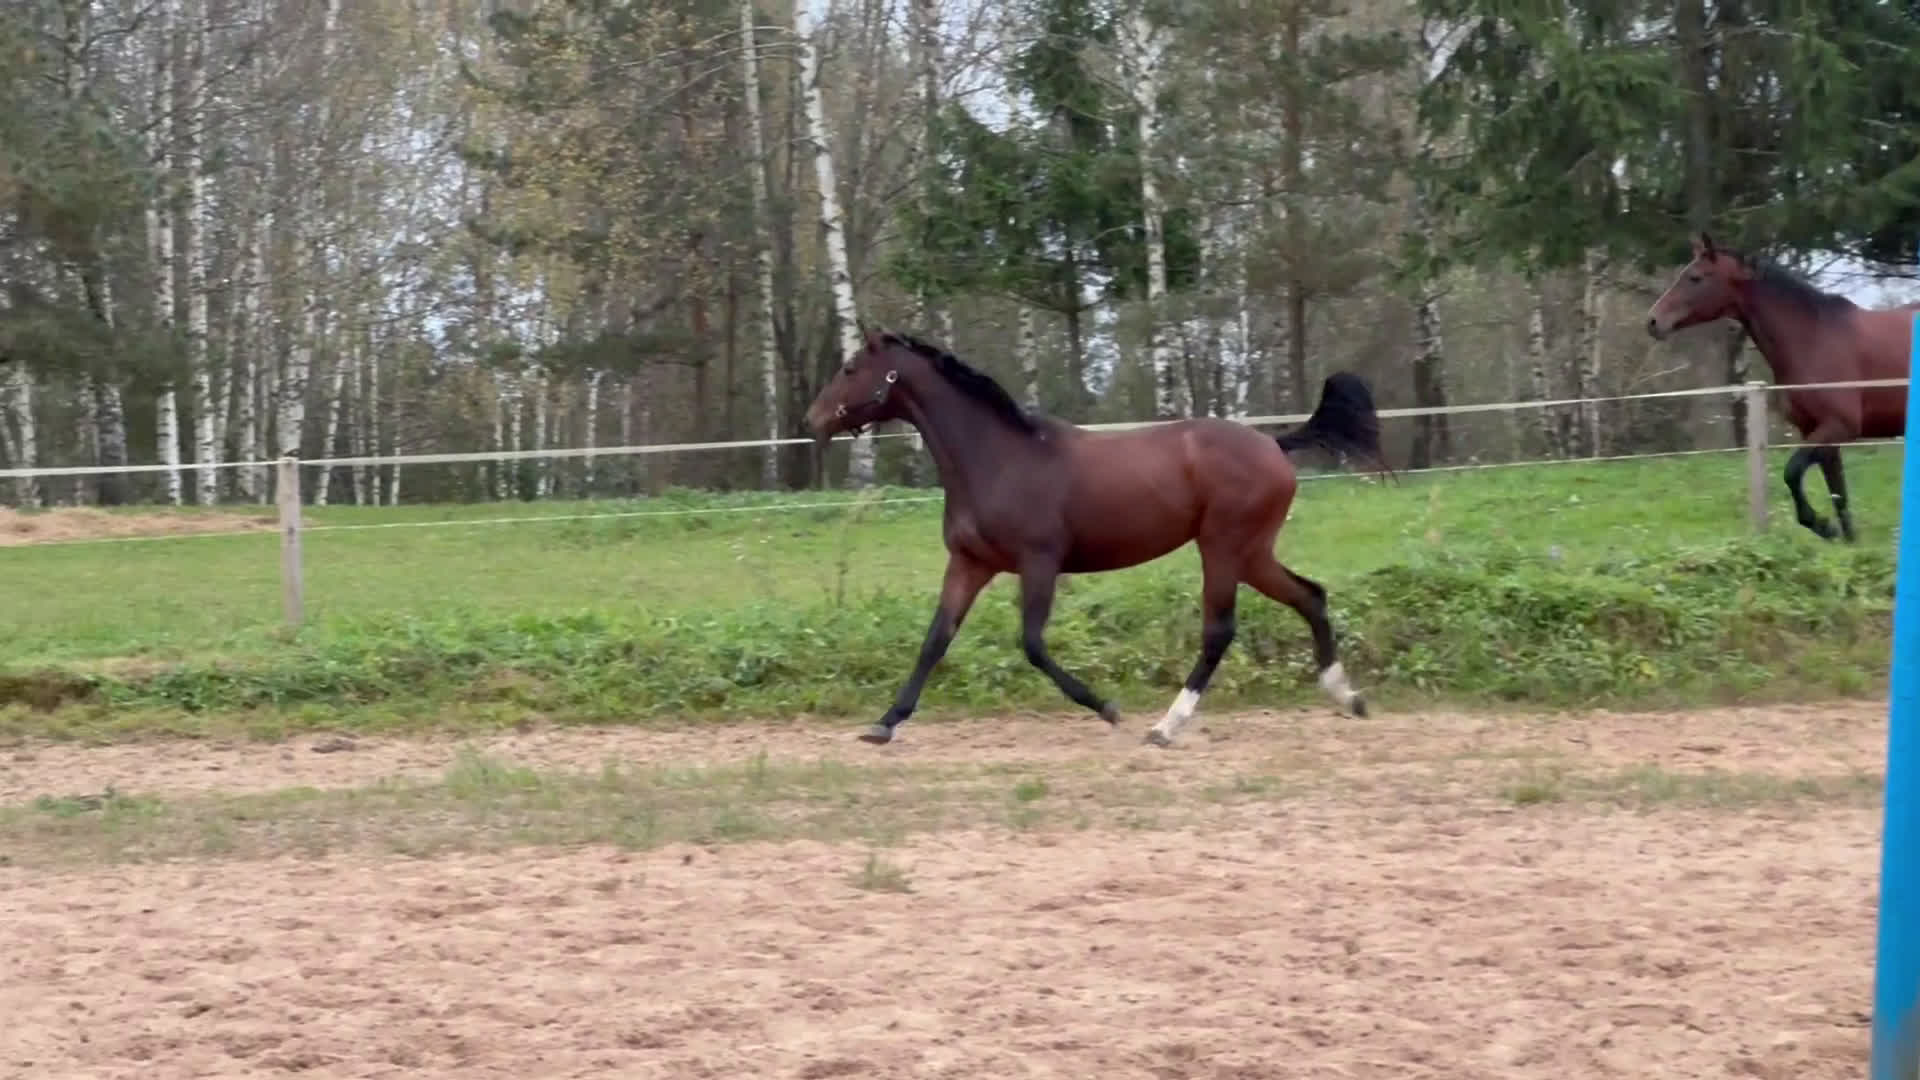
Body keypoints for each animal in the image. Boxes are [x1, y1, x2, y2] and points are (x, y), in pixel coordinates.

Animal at [804, 327, 1391, 748]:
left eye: (850, 368)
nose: (813, 420)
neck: (997, 459)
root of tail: (1273, 446)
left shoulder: (1039, 562)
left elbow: (1032, 644)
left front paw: (1107, 708)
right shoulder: (970, 563)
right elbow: (935, 640)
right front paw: (884, 723)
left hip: (1223, 547)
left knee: (1220, 630)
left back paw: (1165, 727)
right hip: (1252, 553)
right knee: (1311, 596)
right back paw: (1348, 698)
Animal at [1647, 232, 1913, 543]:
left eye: (1695, 278)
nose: (1652, 321)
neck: (1813, 337)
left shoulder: (1839, 426)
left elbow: (1792, 472)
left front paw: (1822, 526)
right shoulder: (1818, 432)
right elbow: (1839, 495)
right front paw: (1845, 540)